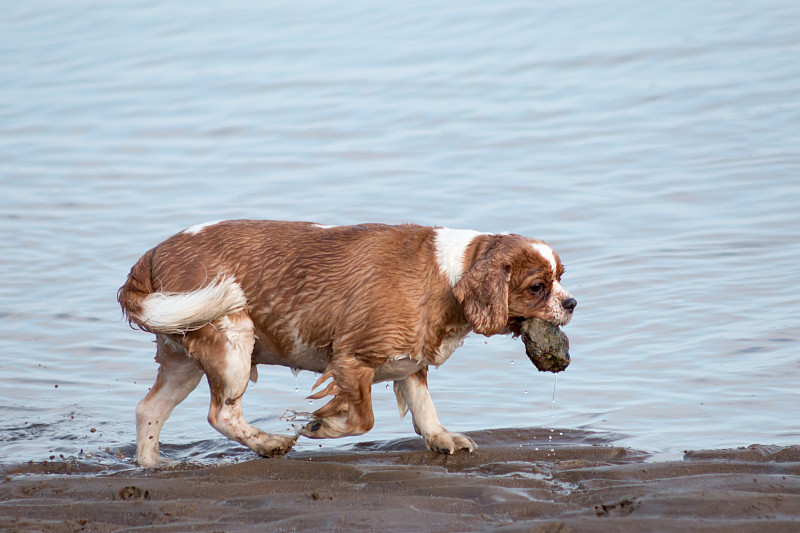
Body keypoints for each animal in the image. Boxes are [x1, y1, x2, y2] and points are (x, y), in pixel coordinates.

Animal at [117, 220, 576, 466]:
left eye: (561, 277)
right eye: (538, 287)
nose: (572, 302)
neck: (447, 274)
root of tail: (150, 256)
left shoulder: (410, 363)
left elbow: (424, 409)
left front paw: (442, 438)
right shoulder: (353, 359)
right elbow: (363, 419)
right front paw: (322, 426)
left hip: (183, 354)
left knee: (149, 410)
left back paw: (153, 464)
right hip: (231, 341)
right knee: (222, 414)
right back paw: (269, 443)